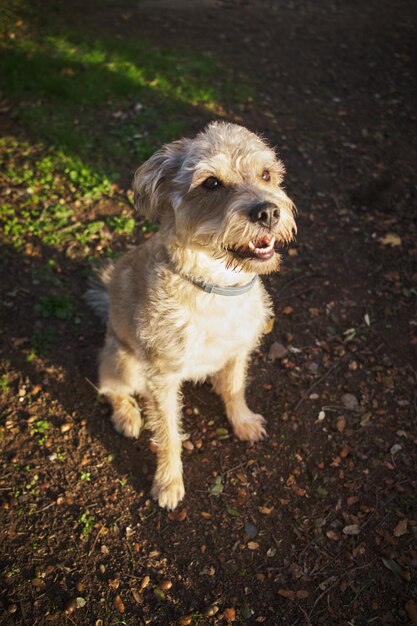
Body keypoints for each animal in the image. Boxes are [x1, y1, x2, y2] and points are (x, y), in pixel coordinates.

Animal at [87, 122, 296, 508]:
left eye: (266, 175)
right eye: (211, 183)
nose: (268, 212)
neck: (216, 286)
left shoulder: (239, 350)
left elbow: (236, 388)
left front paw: (242, 421)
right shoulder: (162, 378)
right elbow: (168, 433)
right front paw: (168, 482)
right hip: (123, 362)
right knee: (110, 387)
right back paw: (127, 415)